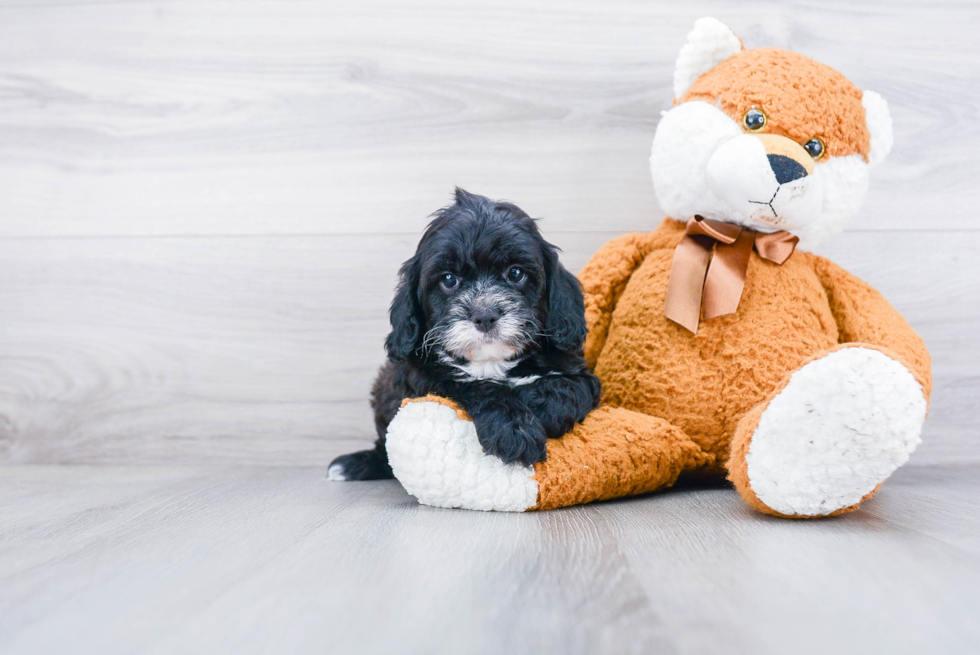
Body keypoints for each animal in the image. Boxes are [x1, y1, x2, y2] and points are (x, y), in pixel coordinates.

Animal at [330, 190, 600, 482]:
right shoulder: (423, 379)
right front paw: (514, 429)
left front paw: (542, 406)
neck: (492, 362)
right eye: (449, 279)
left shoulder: (579, 370)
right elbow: (475, 386)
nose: (485, 314)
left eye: (515, 273)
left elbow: (570, 385)